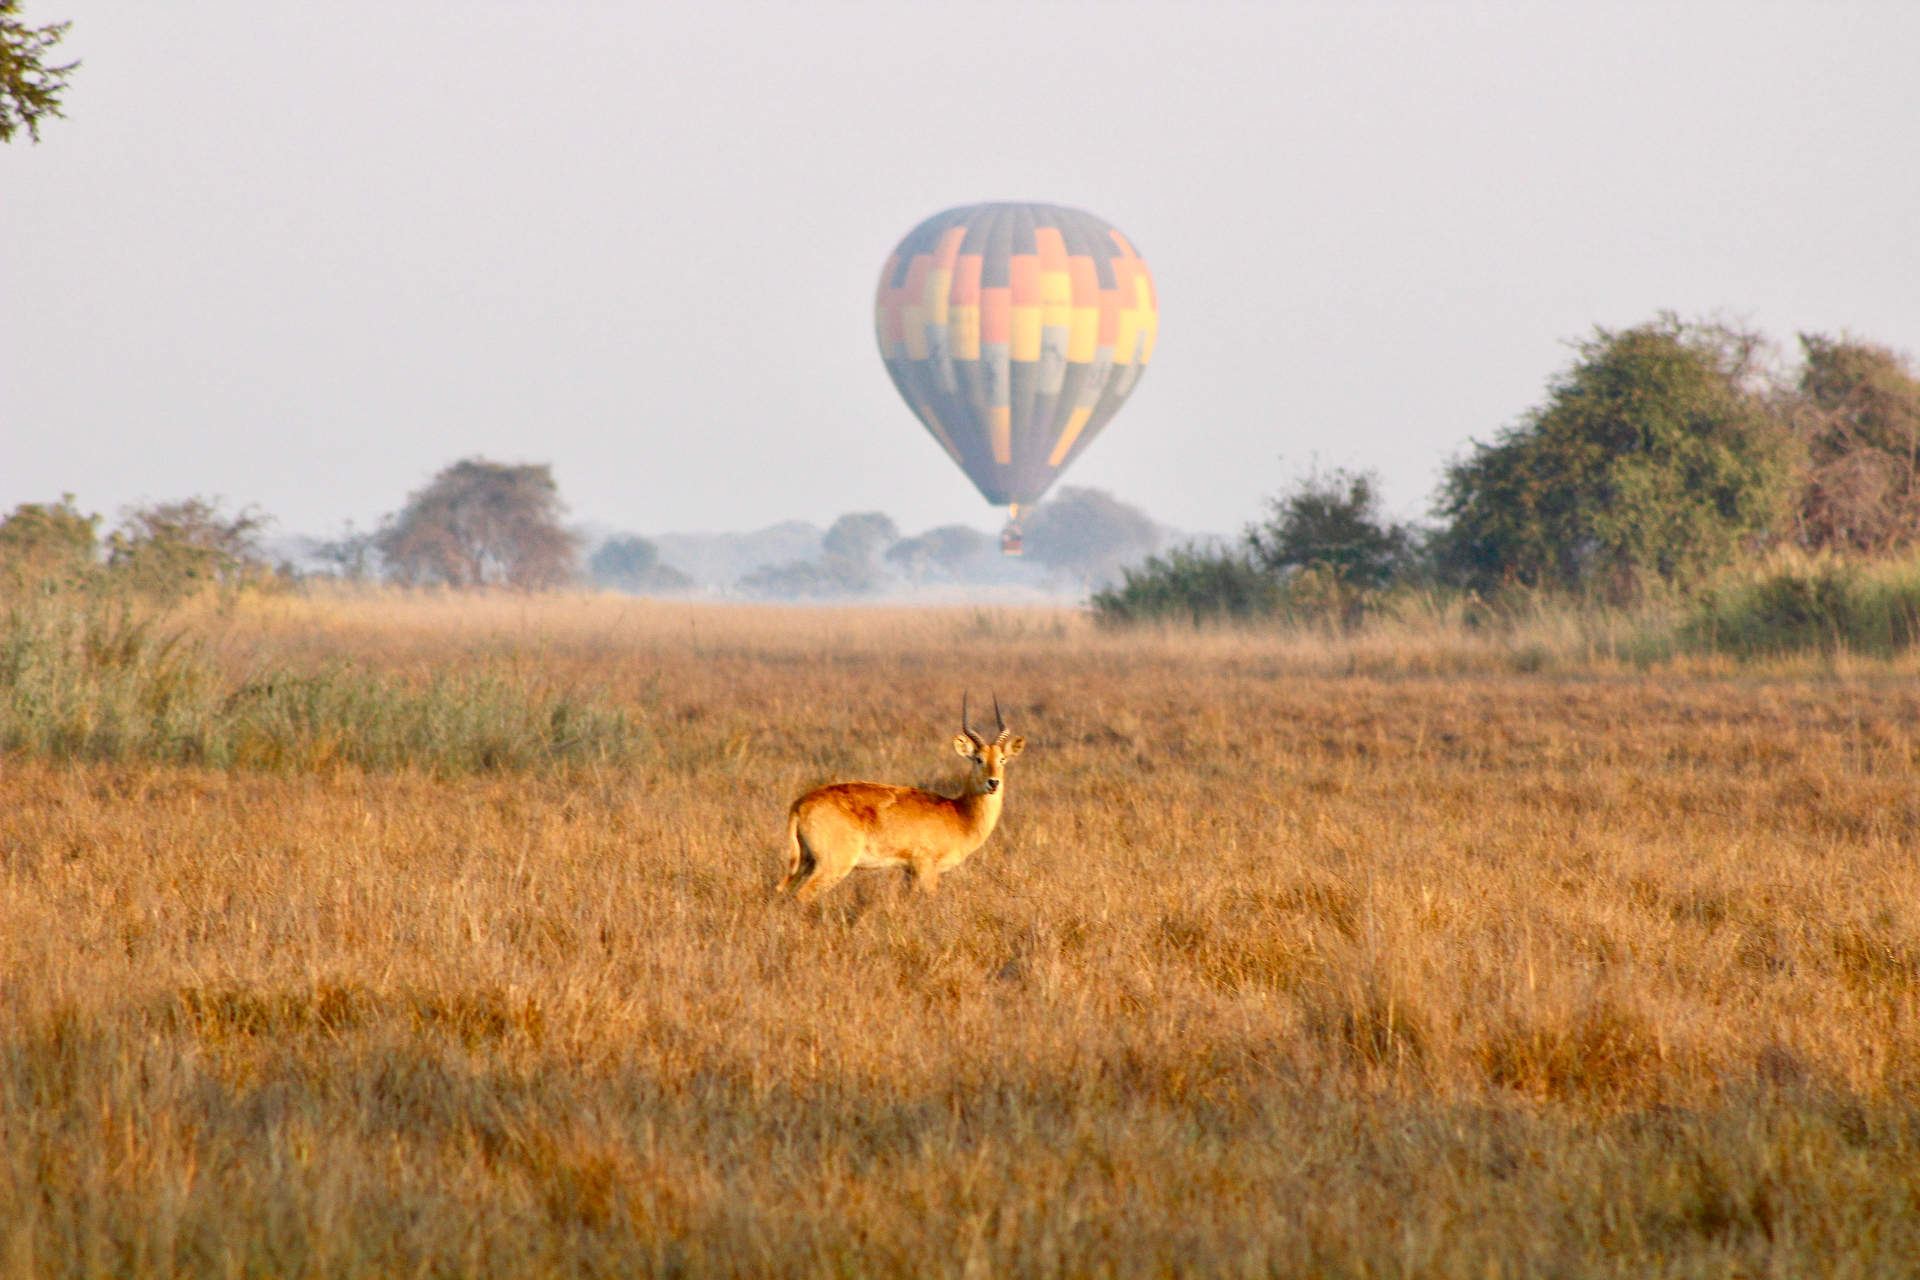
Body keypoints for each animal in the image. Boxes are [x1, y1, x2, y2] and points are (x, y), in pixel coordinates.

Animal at [777, 695, 1026, 902]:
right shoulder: (926, 868)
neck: (958, 813)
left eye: (1002, 759)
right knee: (802, 896)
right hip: (833, 865)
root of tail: (800, 804)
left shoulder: (909, 870)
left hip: (805, 863)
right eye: (978, 759)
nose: (993, 783)